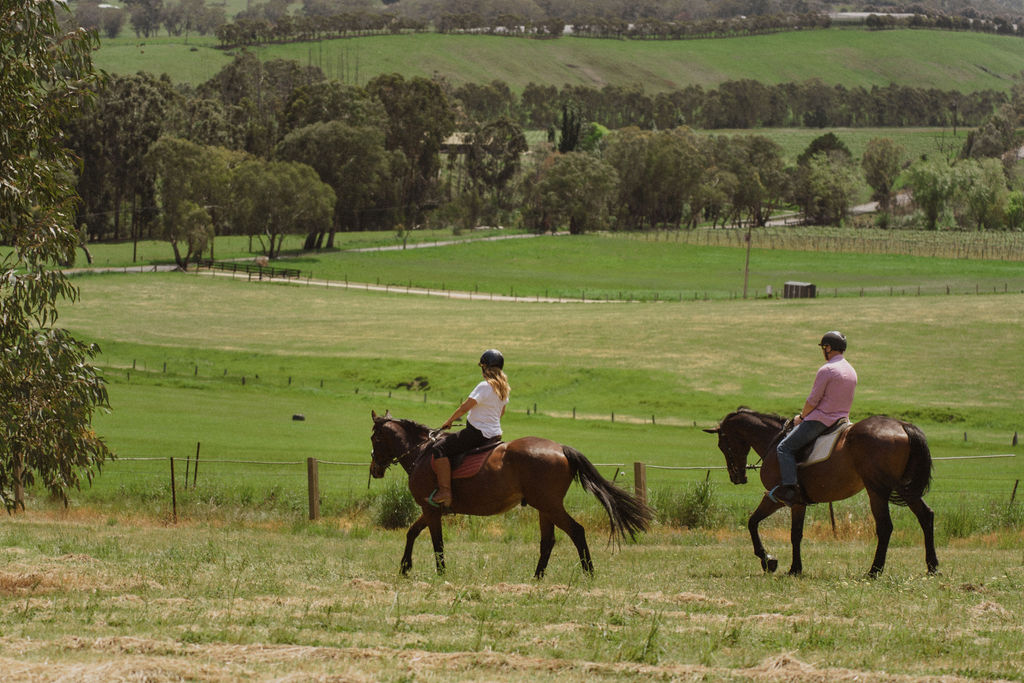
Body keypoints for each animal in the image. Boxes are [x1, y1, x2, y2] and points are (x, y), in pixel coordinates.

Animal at [372, 411, 651, 577]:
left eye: (375, 439)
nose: (374, 470)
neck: (421, 452)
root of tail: (560, 448)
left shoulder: (431, 510)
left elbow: (436, 543)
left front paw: (440, 574)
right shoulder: (430, 510)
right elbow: (411, 532)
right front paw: (405, 568)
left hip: (550, 506)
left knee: (576, 531)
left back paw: (588, 573)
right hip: (545, 508)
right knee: (548, 541)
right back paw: (537, 577)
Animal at [704, 409, 937, 581]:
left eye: (722, 445)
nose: (737, 477)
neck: (774, 442)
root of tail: (902, 426)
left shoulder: (779, 498)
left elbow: (763, 526)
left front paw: (770, 560)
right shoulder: (793, 502)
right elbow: (785, 531)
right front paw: (789, 566)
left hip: (877, 491)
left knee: (885, 527)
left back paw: (874, 571)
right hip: (906, 489)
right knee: (926, 516)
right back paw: (932, 567)